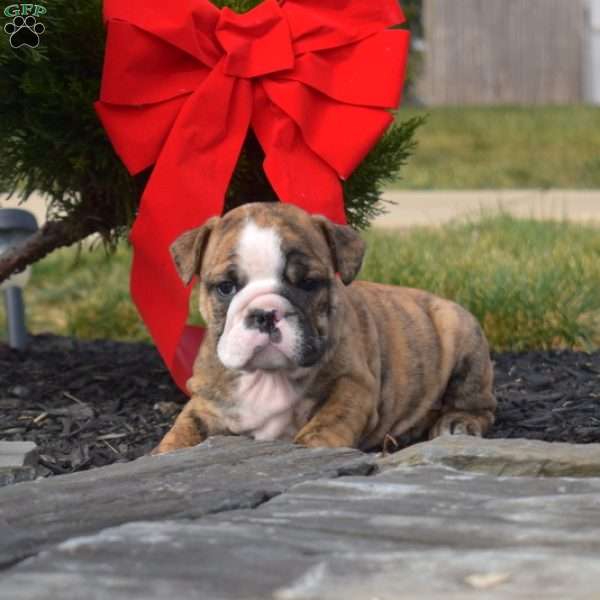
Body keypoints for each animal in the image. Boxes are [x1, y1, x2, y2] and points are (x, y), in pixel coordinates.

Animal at [152, 204, 494, 452]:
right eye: (225, 287)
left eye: (308, 283)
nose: (265, 313)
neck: (268, 377)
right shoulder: (205, 402)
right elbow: (181, 432)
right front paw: (164, 452)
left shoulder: (354, 384)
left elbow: (329, 420)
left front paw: (313, 445)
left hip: (461, 335)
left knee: (479, 405)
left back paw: (458, 422)